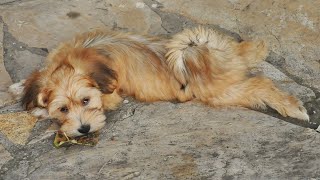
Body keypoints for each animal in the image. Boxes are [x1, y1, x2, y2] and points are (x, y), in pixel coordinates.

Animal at [18, 26, 308, 136]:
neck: (70, 61)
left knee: (260, 84)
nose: (85, 129)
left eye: (86, 101)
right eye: (64, 109)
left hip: (219, 92)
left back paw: (292, 106)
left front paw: (38, 110)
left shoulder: (110, 95)